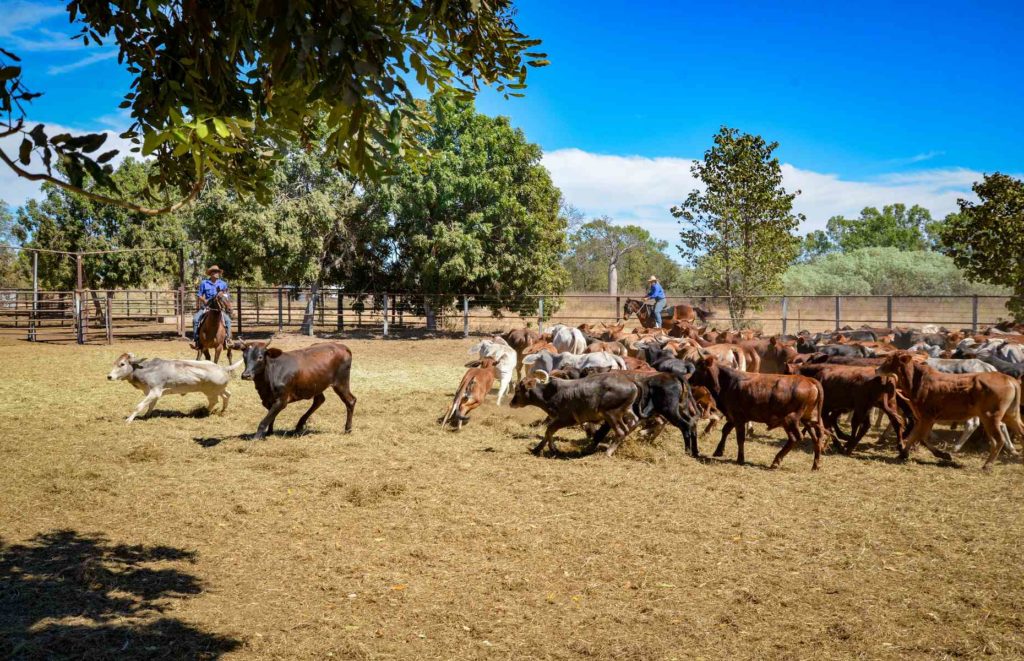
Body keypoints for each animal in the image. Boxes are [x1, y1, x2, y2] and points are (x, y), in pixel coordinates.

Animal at [872, 351, 1024, 470]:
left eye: (889, 360)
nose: (876, 369)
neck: (918, 381)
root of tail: (1009, 379)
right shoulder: (922, 418)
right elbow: (917, 436)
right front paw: (905, 453)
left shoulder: (927, 417)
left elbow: (919, 436)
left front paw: (941, 454)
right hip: (1010, 415)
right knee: (1018, 432)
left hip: (990, 417)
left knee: (998, 439)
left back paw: (987, 464)